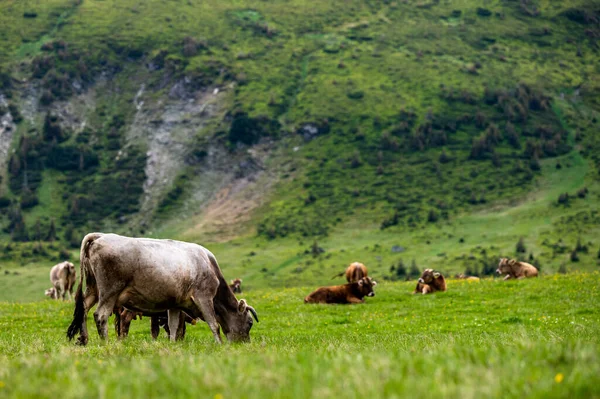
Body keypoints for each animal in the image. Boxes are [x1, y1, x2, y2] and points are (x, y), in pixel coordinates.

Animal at [67, 233, 258, 346]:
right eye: (249, 323)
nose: (245, 343)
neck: (208, 264)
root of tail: (101, 236)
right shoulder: (204, 296)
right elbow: (214, 323)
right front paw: (219, 344)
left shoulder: (175, 304)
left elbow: (173, 327)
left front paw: (173, 345)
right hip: (110, 291)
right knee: (100, 315)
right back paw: (106, 342)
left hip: (93, 288)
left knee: (84, 308)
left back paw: (84, 339)